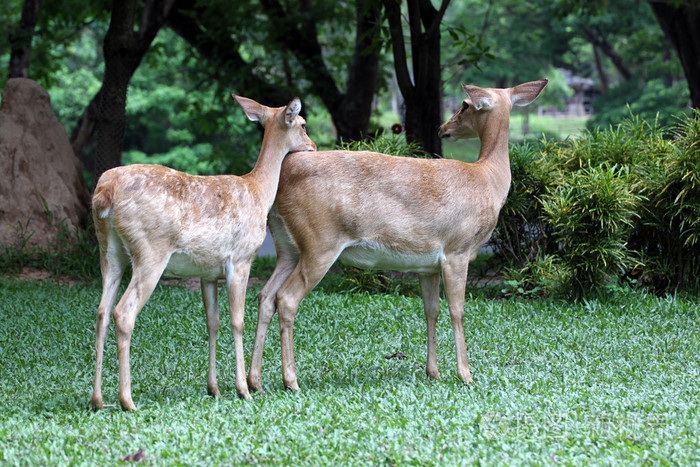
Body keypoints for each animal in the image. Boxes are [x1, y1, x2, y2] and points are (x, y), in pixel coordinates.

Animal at [90, 94, 314, 410]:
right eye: (303, 124)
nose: (314, 146)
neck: (258, 191)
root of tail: (105, 193)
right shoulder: (241, 259)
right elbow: (237, 321)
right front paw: (242, 389)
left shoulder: (208, 272)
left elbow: (213, 322)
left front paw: (214, 389)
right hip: (150, 251)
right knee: (123, 312)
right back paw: (127, 400)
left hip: (109, 252)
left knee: (101, 312)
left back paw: (98, 399)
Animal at [249, 79, 548, 392]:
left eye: (464, 105)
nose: (443, 128)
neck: (487, 179)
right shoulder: (457, 249)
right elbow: (458, 310)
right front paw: (465, 374)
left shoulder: (428, 264)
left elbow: (431, 310)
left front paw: (433, 372)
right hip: (320, 242)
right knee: (286, 298)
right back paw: (291, 380)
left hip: (288, 247)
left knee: (265, 295)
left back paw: (254, 381)